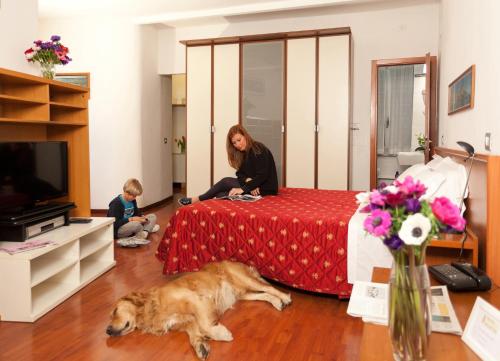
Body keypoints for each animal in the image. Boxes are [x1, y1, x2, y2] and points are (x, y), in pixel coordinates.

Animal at [107, 260, 292, 358]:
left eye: (115, 311)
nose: (107, 330)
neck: (153, 306)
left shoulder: (196, 299)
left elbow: (205, 325)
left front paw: (220, 333)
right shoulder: (184, 322)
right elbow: (193, 333)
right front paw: (200, 346)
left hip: (246, 281)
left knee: (270, 288)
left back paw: (285, 298)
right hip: (243, 293)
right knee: (265, 294)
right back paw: (277, 302)